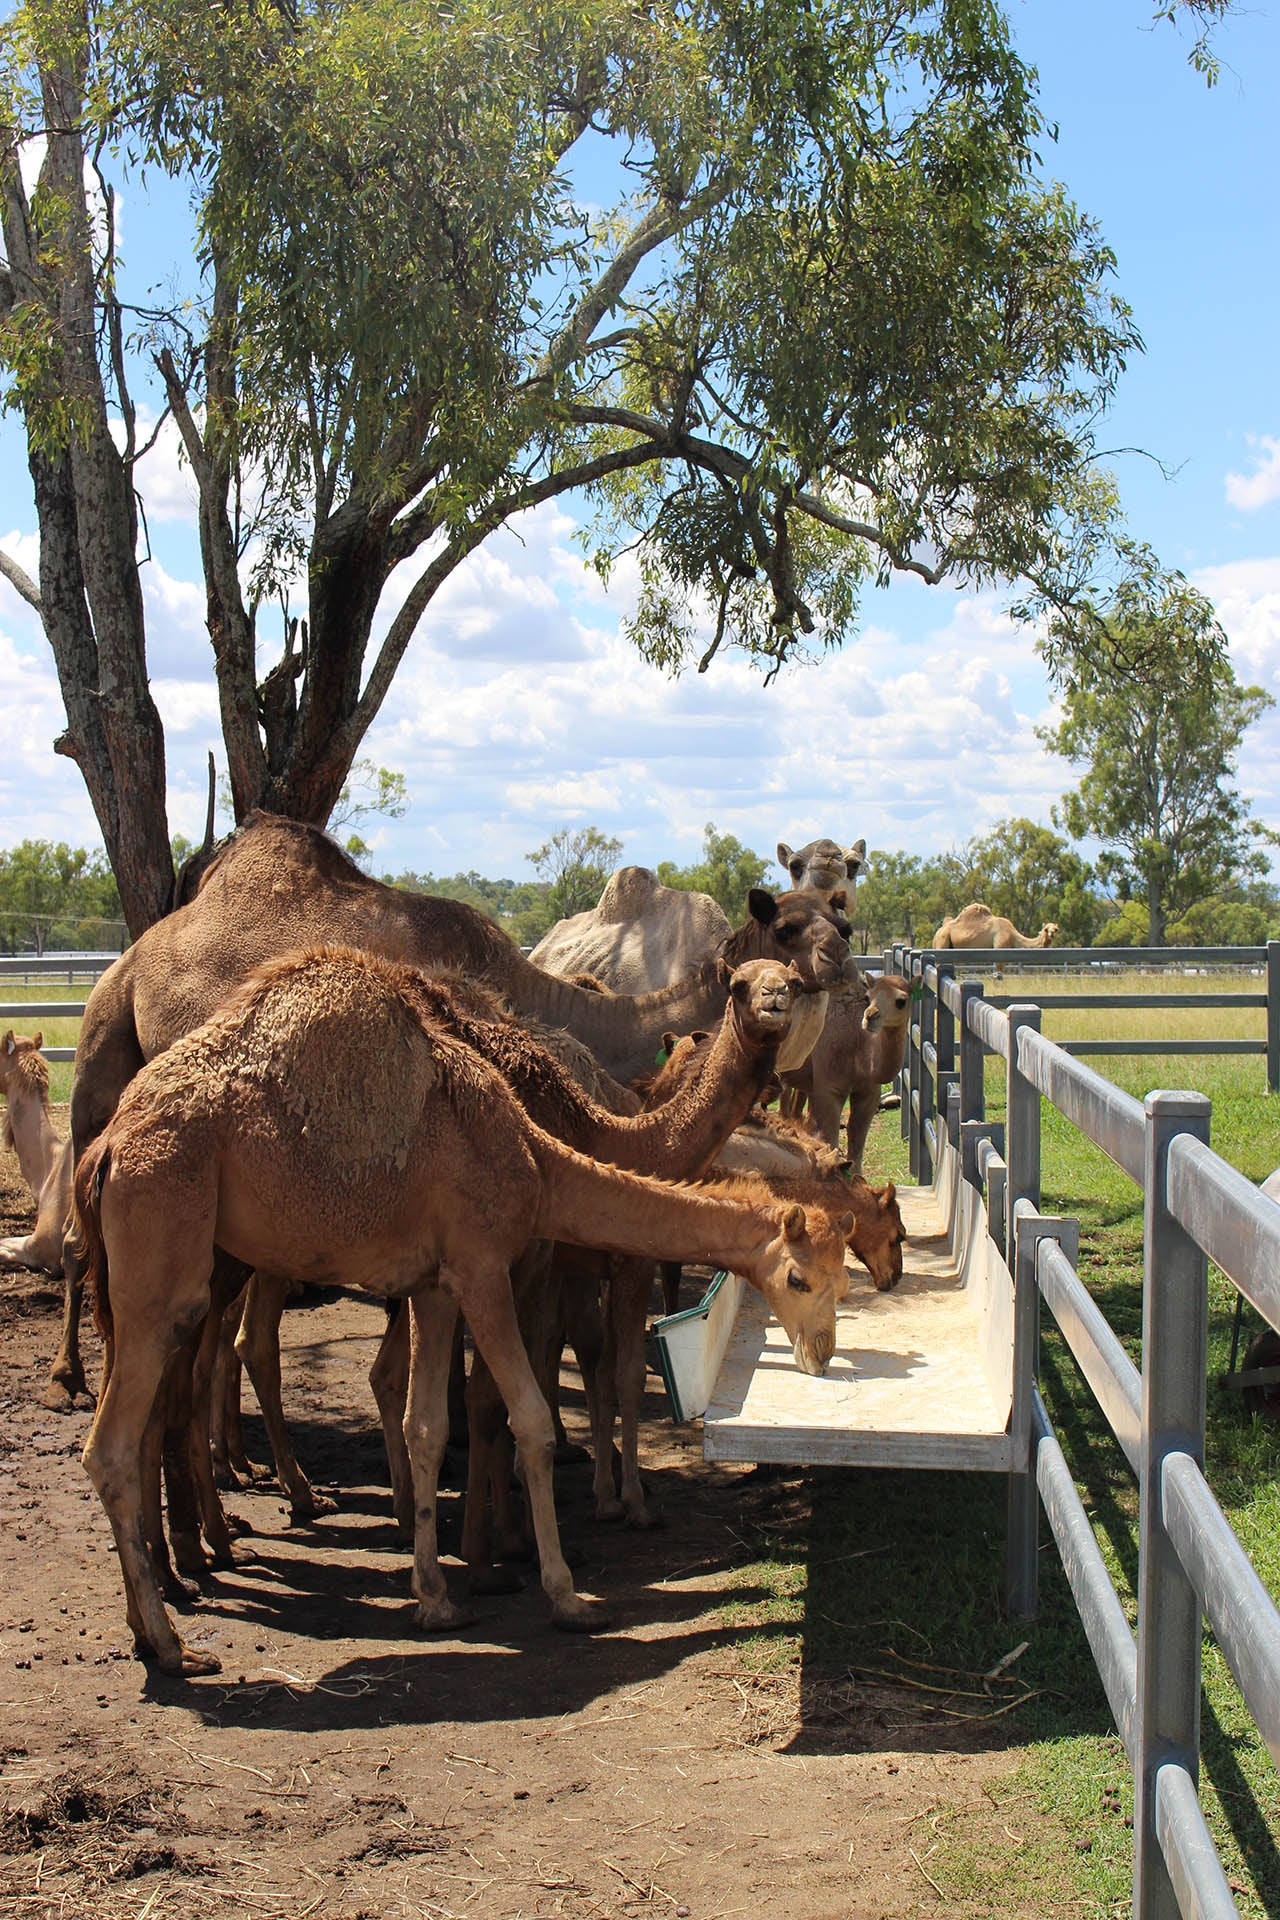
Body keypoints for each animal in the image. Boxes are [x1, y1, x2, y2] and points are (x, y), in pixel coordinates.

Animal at [775, 975, 917, 1167]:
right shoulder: (828, 1090)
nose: (870, 1016)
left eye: (901, 1001)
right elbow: (829, 1138)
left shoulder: (868, 1093)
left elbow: (856, 1139)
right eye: (868, 997)